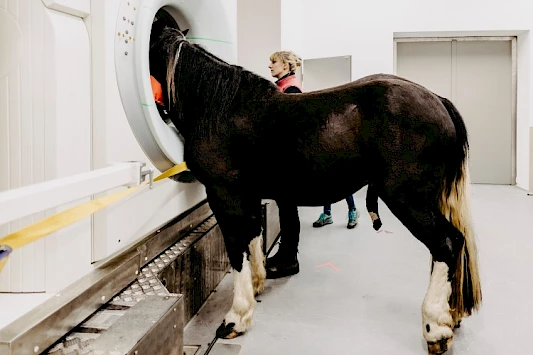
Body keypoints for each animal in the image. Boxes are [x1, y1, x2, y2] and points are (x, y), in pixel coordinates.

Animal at [149, 26, 482, 354]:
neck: (218, 107)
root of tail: (437, 99)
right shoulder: (249, 198)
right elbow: (254, 239)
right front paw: (257, 285)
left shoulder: (225, 197)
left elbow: (237, 250)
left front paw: (236, 318)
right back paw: (451, 314)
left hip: (409, 200)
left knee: (446, 244)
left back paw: (435, 327)